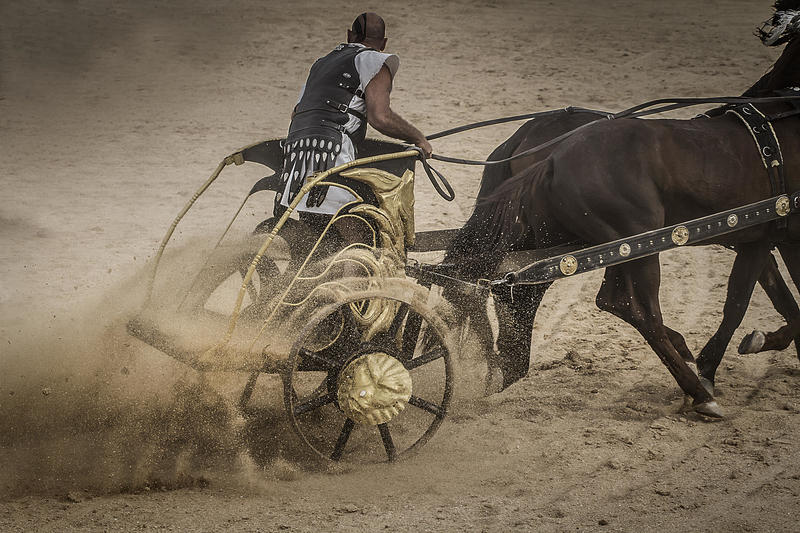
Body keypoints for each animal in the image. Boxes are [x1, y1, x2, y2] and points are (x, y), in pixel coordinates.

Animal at [444, 35, 800, 418]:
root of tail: (552, 157)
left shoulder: (770, 239)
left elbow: (779, 301)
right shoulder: (763, 236)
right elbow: (740, 303)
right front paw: (711, 369)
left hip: (595, 243)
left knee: (552, 292)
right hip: (634, 242)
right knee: (636, 310)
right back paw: (696, 391)